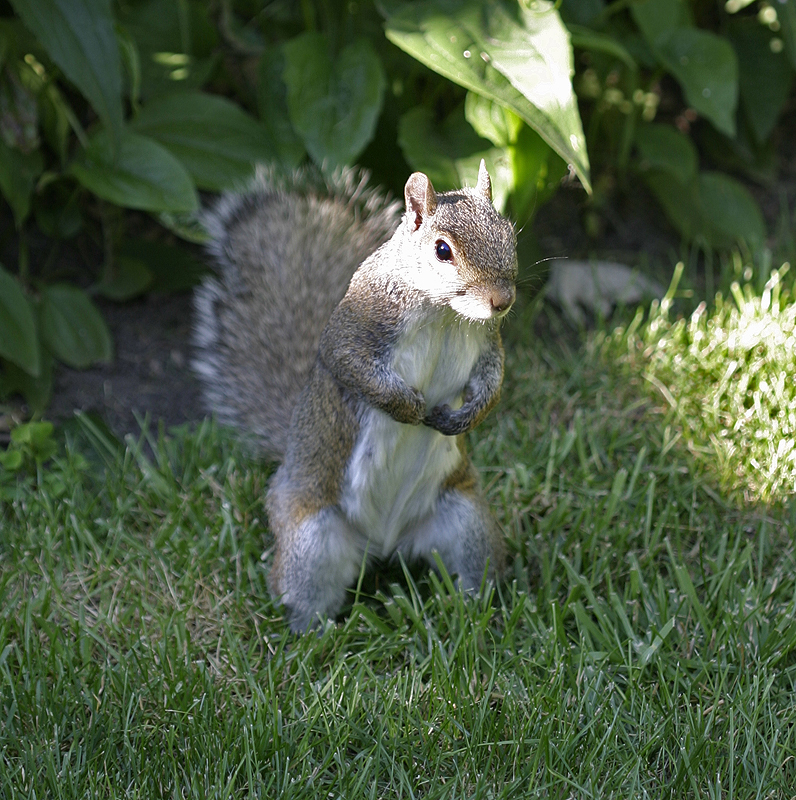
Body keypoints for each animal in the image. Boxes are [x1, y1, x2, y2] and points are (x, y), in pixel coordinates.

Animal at [193, 158, 516, 632]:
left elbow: (493, 383)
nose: (502, 300)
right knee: (305, 594)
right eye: (442, 250)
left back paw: (476, 611)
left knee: (474, 570)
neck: (445, 314)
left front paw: (463, 418)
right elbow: (349, 365)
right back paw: (312, 634)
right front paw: (410, 407)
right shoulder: (358, 325)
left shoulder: (487, 343)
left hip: (466, 521)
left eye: (508, 230)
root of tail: (384, 544)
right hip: (311, 543)